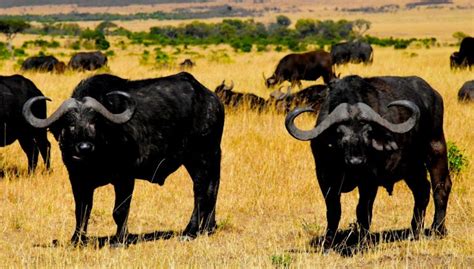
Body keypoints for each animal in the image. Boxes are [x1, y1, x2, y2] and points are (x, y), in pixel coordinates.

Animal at [23, 71, 226, 245]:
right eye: (70, 124)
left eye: (95, 122)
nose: (84, 147)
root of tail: (211, 100)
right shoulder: (77, 179)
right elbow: (82, 210)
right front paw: (77, 239)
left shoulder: (125, 178)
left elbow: (119, 210)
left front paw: (119, 239)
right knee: (212, 188)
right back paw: (207, 228)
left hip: (201, 156)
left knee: (200, 192)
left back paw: (189, 232)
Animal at [286, 75, 452, 251]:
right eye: (339, 133)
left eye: (368, 132)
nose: (356, 161)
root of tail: (435, 95)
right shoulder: (324, 176)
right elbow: (333, 210)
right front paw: (328, 242)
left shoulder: (370, 180)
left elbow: (363, 210)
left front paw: (363, 242)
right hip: (412, 167)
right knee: (422, 190)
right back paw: (414, 231)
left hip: (436, 147)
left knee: (441, 187)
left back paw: (437, 229)